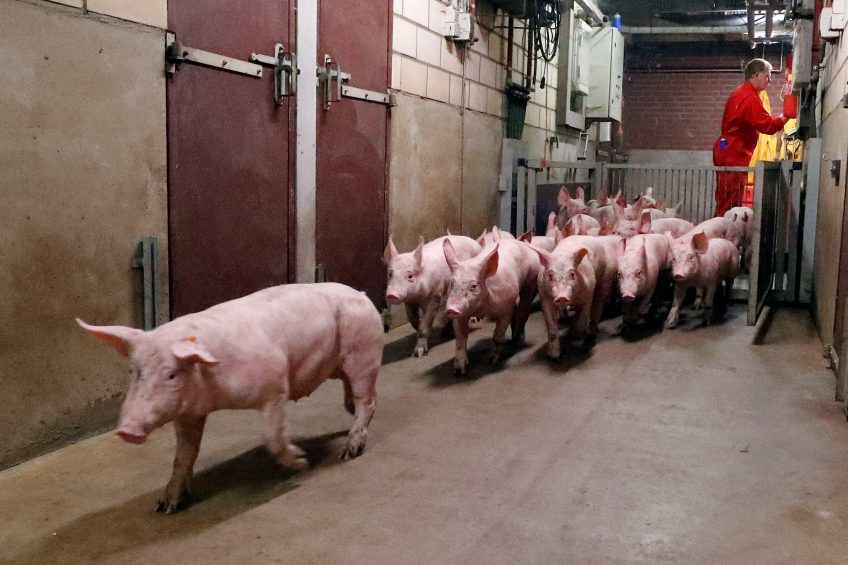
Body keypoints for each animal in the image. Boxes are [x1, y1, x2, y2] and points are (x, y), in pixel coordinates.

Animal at [78, 280, 382, 512]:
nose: (127, 430)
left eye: (171, 375)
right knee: (355, 398)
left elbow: (272, 437)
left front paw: (302, 462)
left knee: (367, 401)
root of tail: (363, 295)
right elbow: (184, 454)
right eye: (135, 371)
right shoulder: (189, 412)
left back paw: (349, 452)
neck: (214, 394)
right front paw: (166, 506)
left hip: (364, 354)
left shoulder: (275, 386)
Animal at [440, 238, 540, 374]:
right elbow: (461, 337)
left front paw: (492, 361)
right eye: (452, 282)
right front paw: (459, 370)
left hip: (531, 281)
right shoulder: (462, 314)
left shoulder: (506, 308)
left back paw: (518, 340)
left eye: (474, 285)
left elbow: (498, 335)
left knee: (523, 313)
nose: (451, 309)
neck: (482, 308)